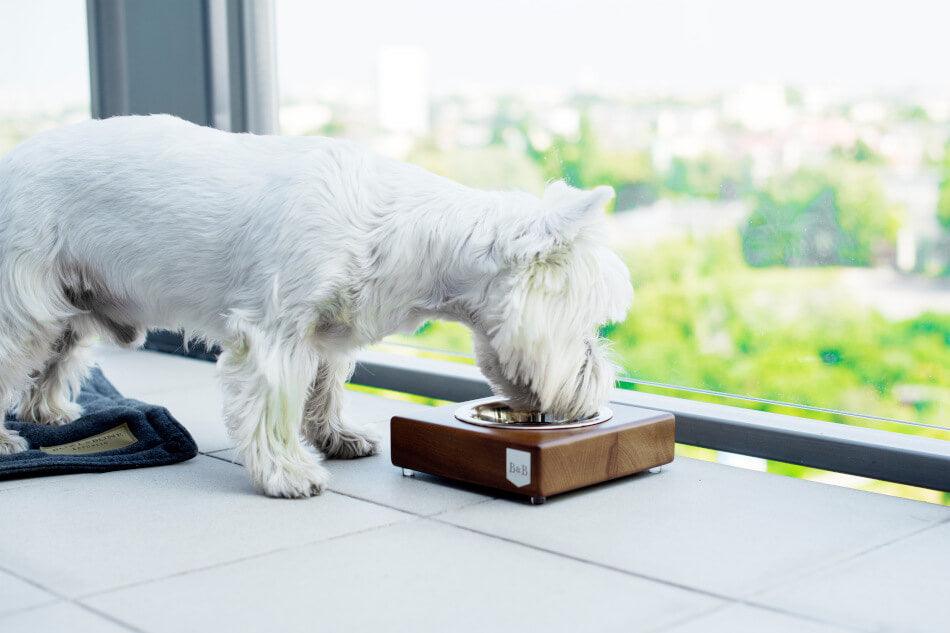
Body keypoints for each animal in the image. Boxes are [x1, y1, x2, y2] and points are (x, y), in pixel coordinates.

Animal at [3, 116, 636, 496]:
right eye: (590, 326)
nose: (600, 382)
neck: (409, 233)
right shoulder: (274, 332)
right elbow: (275, 404)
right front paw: (287, 472)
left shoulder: (327, 332)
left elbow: (323, 389)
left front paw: (336, 436)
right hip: (22, 301)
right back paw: (9, 443)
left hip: (68, 301)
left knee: (52, 361)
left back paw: (48, 413)